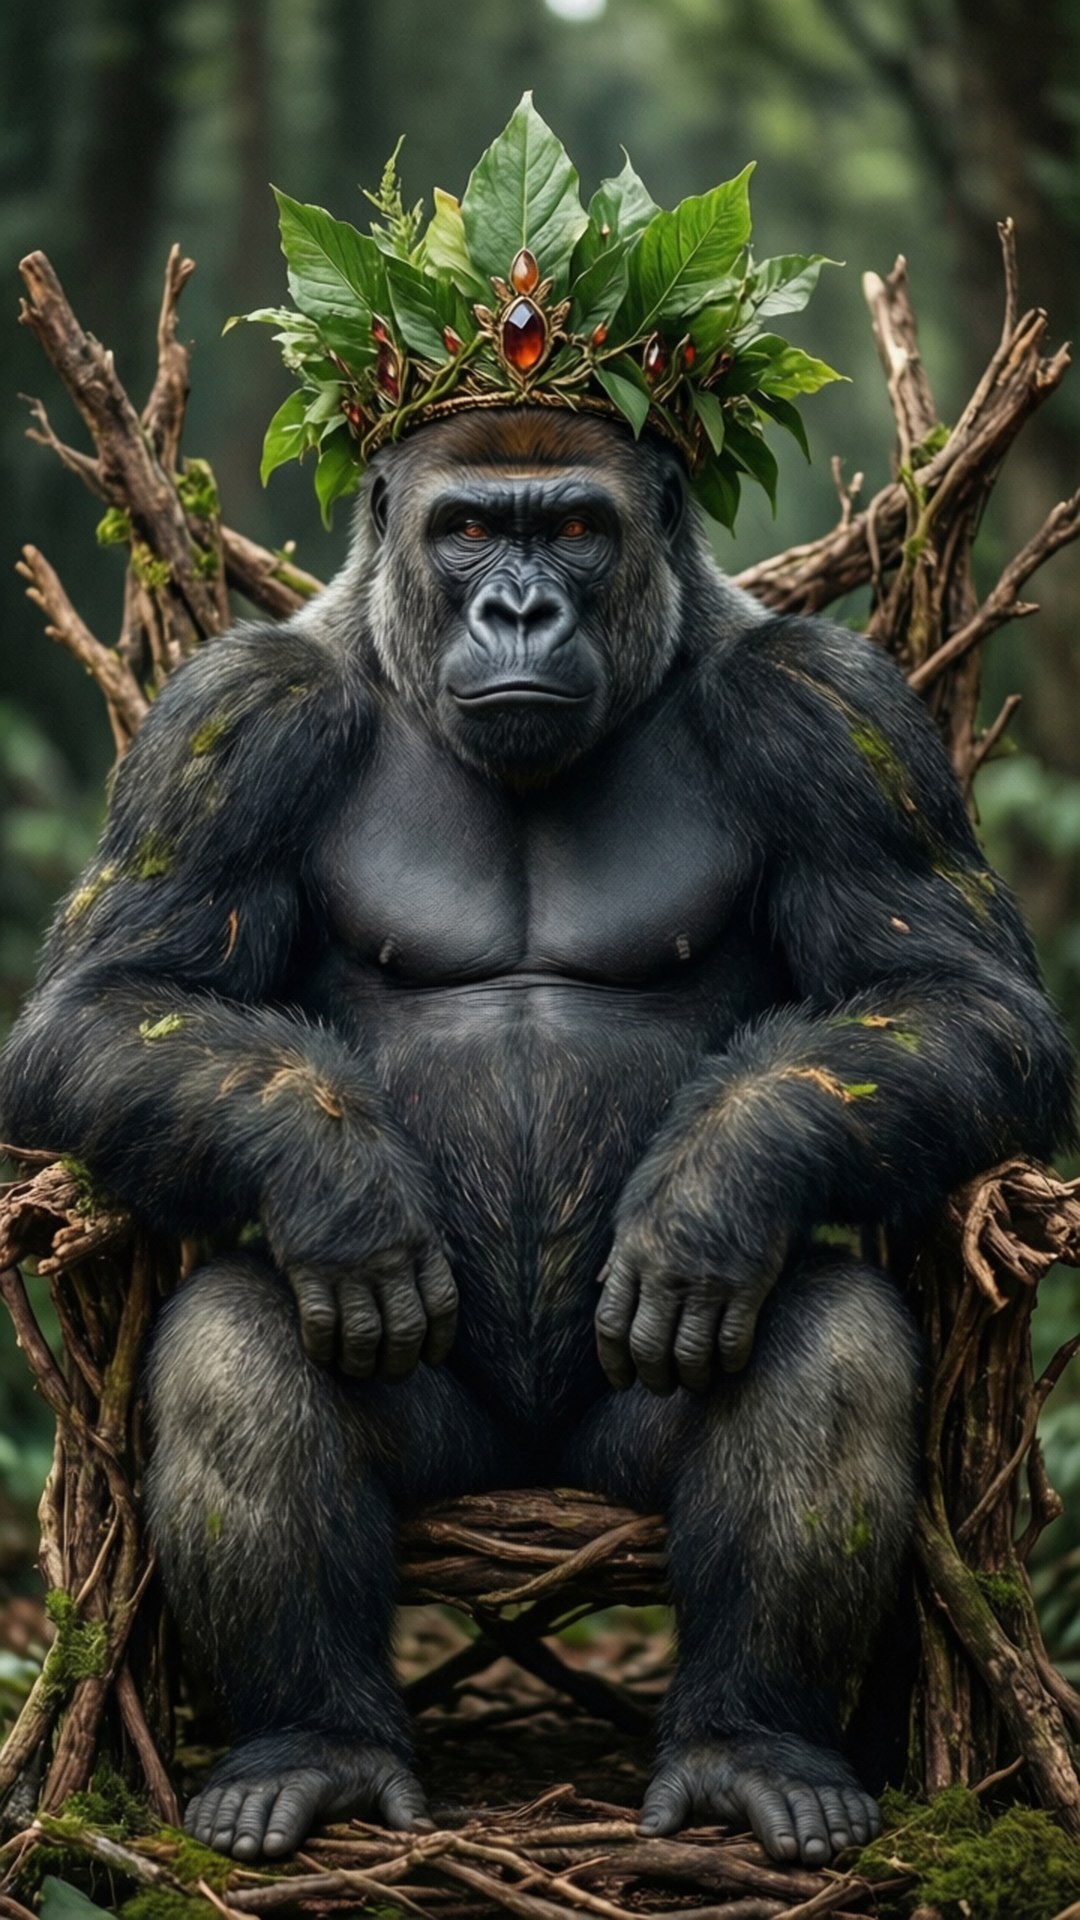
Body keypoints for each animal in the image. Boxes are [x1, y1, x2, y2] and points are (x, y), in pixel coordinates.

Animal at [0, 407, 1072, 1869]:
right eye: (464, 530)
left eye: (573, 527)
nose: (517, 607)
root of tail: (529, 1481)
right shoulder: (230, 716)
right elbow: (106, 1003)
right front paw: (334, 1180)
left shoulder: (831, 704)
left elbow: (965, 999)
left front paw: (719, 1186)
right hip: (459, 1464)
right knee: (237, 1340)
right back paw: (314, 1746)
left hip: (605, 1472)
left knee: (830, 1343)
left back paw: (753, 1747)